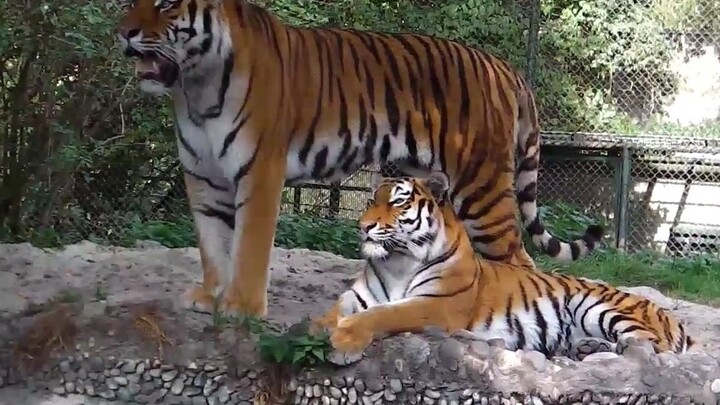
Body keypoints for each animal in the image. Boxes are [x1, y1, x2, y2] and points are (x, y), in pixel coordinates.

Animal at [116, 0, 604, 318]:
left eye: (166, 2)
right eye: (128, 1)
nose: (124, 33)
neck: (194, 85)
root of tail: (506, 68)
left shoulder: (259, 172)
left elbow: (249, 248)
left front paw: (241, 309)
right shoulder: (202, 176)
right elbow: (212, 244)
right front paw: (209, 297)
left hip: (481, 188)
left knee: (520, 262)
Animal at [312, 172, 694, 364]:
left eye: (397, 202)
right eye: (370, 200)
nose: (363, 226)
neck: (398, 260)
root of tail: (670, 315)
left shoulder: (436, 305)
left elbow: (384, 314)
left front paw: (343, 341)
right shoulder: (357, 296)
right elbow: (334, 310)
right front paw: (316, 329)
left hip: (599, 307)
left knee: (648, 349)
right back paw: (586, 348)